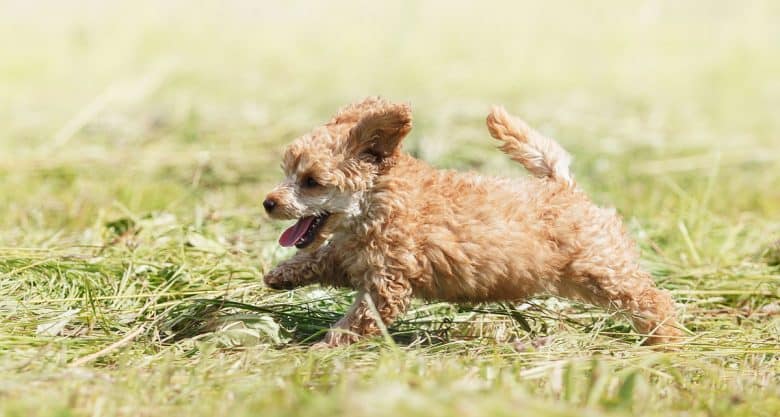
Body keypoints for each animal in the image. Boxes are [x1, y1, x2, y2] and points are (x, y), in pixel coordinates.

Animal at [262, 96, 684, 344]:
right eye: (286, 172)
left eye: (311, 182)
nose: (268, 202)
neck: (378, 199)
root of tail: (563, 185)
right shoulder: (351, 255)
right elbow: (320, 257)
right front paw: (280, 275)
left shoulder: (386, 284)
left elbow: (357, 320)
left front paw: (323, 347)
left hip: (601, 268)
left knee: (651, 298)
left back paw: (667, 338)